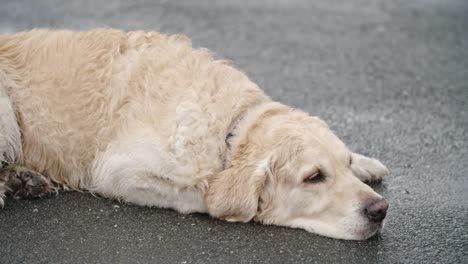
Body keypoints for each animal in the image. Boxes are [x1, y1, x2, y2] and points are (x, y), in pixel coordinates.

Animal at [0, 28, 388, 239]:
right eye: (314, 176)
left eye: (344, 164)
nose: (380, 209)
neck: (230, 126)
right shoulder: (117, 171)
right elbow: (198, 195)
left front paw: (366, 163)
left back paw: (23, 180)